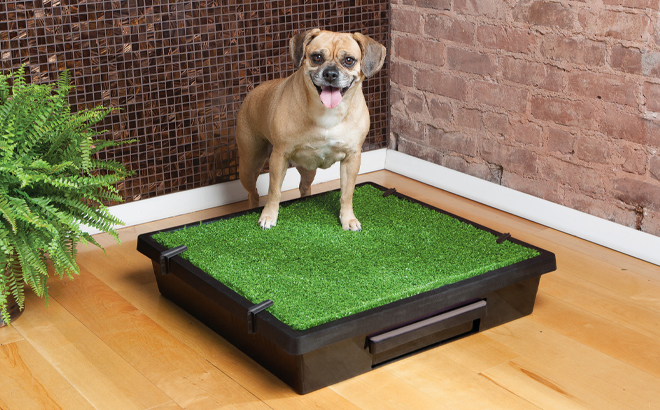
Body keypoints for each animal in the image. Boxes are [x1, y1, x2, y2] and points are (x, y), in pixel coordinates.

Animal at [236, 29, 386, 231]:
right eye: (317, 57)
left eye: (349, 60)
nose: (330, 73)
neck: (328, 111)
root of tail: (251, 93)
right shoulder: (279, 156)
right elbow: (274, 191)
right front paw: (268, 216)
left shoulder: (352, 159)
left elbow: (347, 193)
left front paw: (348, 219)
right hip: (249, 165)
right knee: (253, 192)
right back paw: (253, 206)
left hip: (308, 169)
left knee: (304, 186)